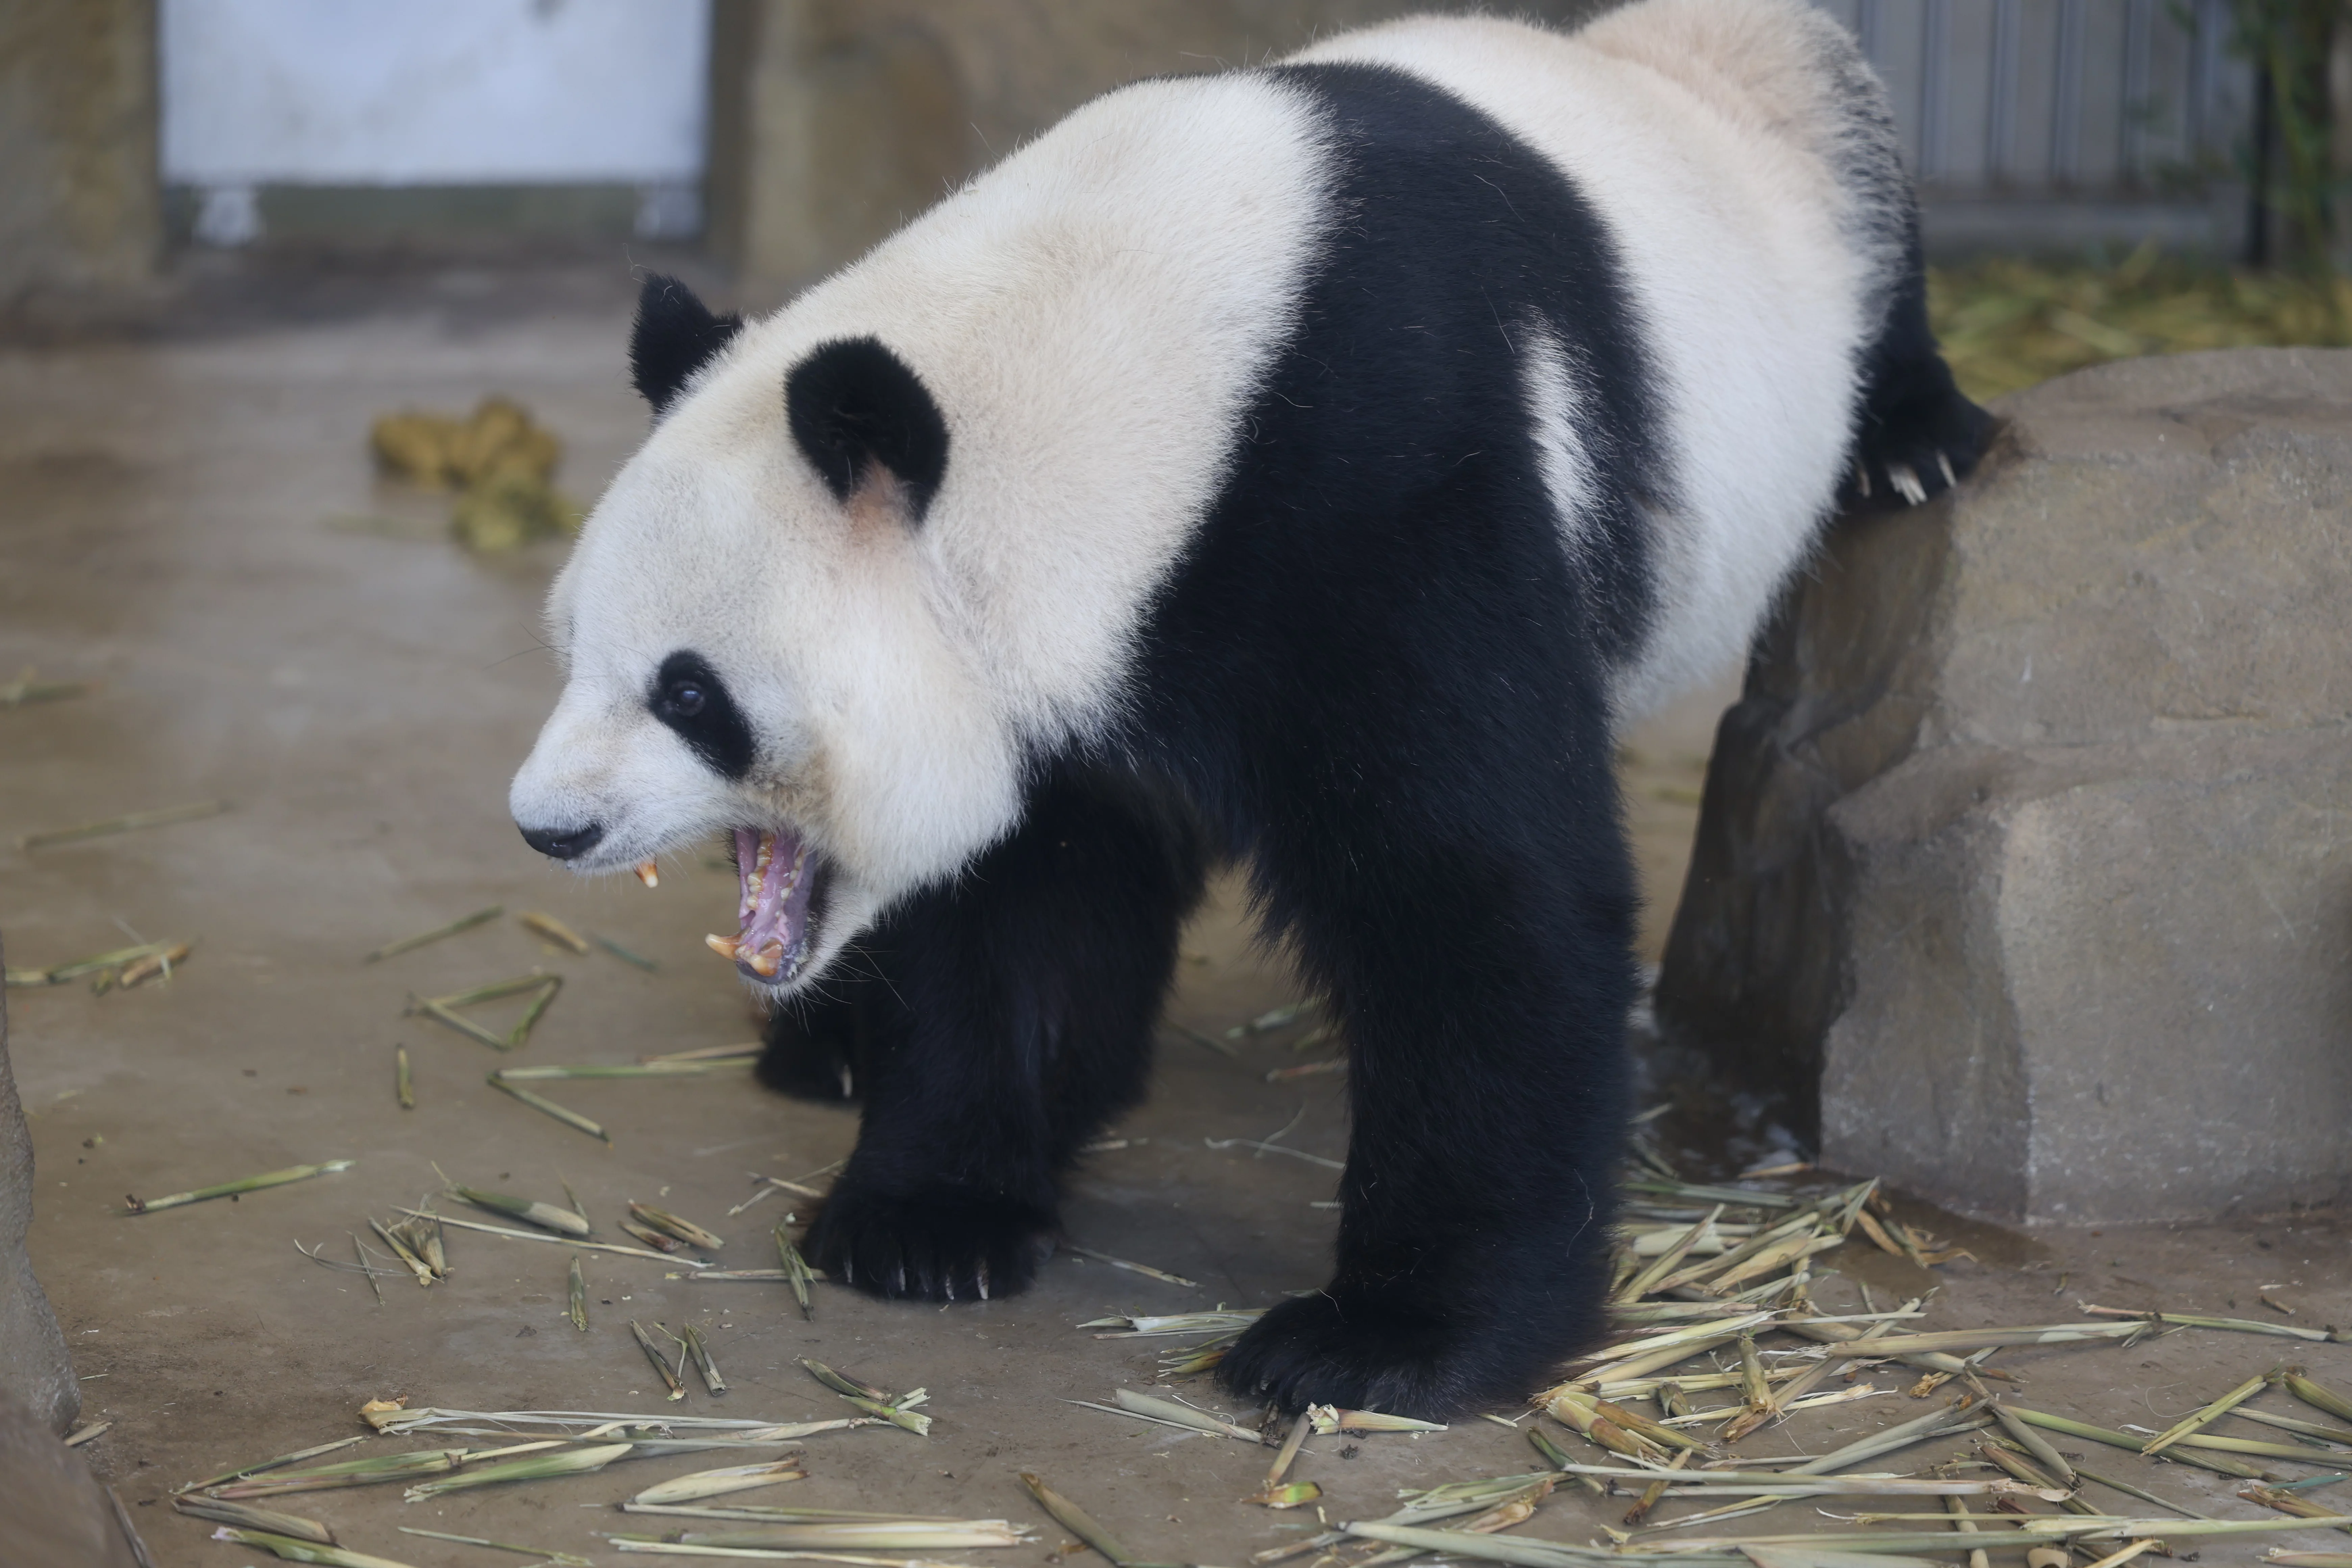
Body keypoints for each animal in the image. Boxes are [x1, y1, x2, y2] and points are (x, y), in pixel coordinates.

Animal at [510, 0, 1990, 1417]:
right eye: (574, 648)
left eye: (689, 691)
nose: (549, 827)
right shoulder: (1083, 669)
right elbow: (1021, 906)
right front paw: (931, 1217)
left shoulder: (1375, 487)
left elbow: (1470, 894)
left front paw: (1386, 1345)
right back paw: (826, 1051)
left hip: (1785, 153)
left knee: (1856, 174)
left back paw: (1915, 440)